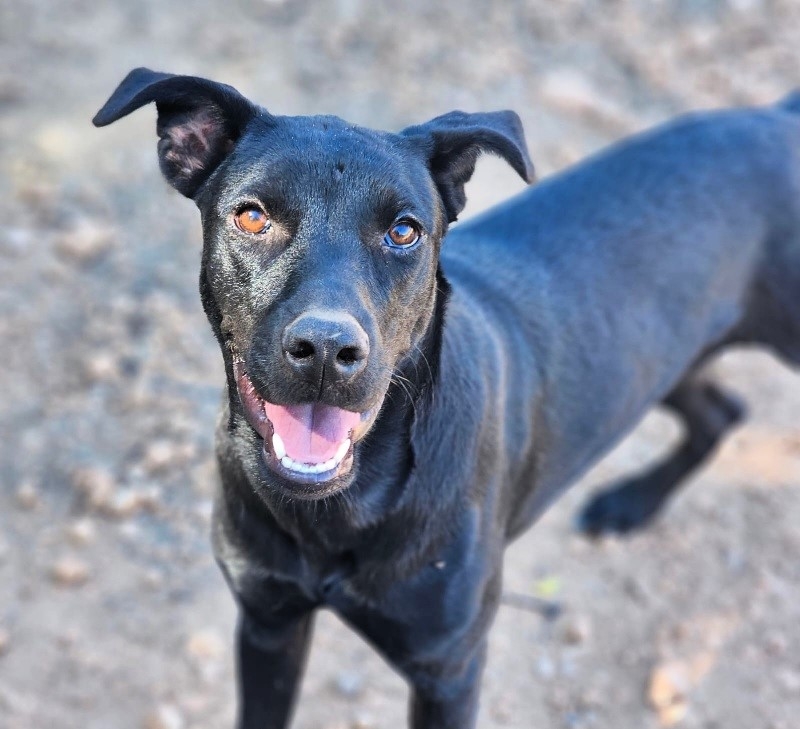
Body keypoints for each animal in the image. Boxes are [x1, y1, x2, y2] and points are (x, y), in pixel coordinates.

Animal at [94, 68, 800, 728]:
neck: (343, 510)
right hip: (664, 361)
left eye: (405, 231)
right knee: (721, 414)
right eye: (251, 216)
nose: (326, 349)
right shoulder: (269, 624)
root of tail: (777, 116)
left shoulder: (449, 671)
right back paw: (633, 503)